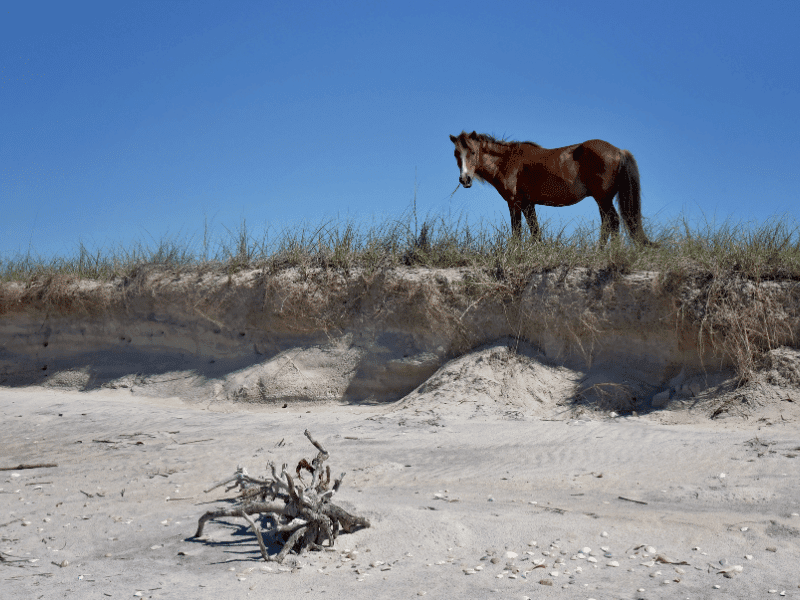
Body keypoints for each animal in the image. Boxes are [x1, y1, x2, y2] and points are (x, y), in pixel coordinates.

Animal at [446, 131, 652, 246]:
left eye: (473, 152)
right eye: (456, 154)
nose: (464, 179)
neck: (506, 161)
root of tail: (619, 151)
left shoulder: (515, 203)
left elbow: (517, 232)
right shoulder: (528, 204)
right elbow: (536, 232)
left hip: (603, 198)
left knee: (613, 221)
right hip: (603, 199)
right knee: (609, 223)